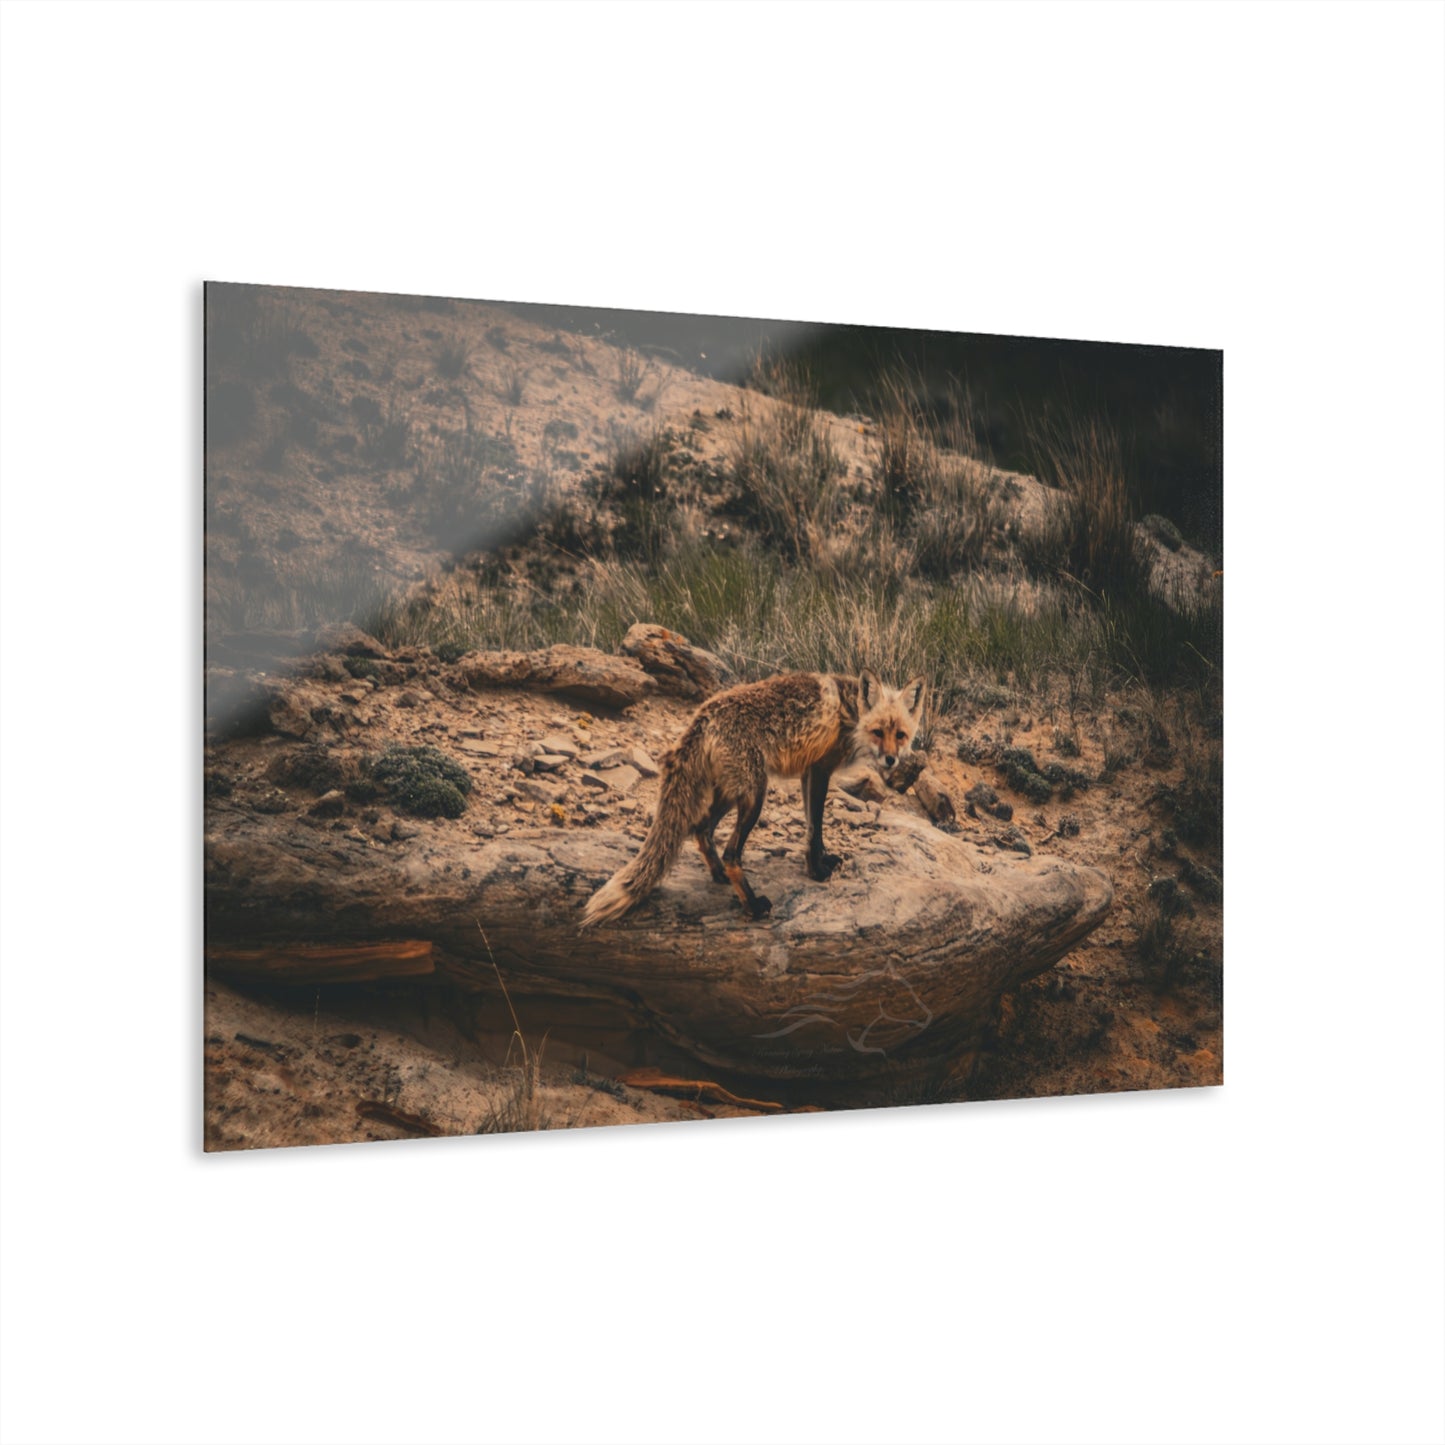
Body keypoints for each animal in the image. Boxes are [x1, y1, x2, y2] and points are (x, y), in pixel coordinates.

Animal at [580, 668, 926, 927]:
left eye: (900, 735)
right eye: (878, 732)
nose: (891, 761)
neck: (851, 713)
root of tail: (703, 716)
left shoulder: (807, 773)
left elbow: (811, 829)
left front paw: (821, 861)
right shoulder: (820, 770)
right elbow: (815, 828)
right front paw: (817, 872)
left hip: (730, 794)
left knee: (701, 829)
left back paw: (718, 874)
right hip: (754, 796)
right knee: (732, 853)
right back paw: (752, 905)